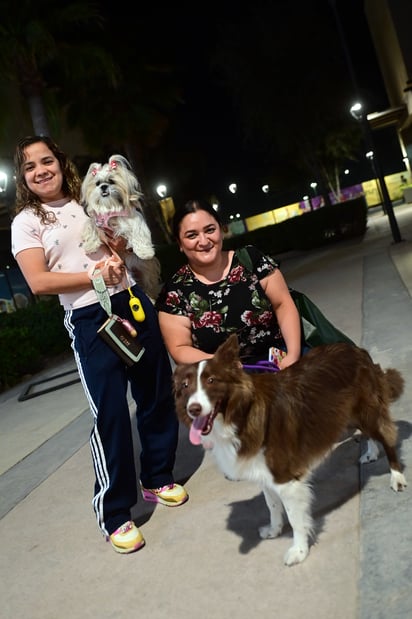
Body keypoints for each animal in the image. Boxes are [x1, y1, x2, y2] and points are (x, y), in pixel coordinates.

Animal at [81, 155, 161, 300]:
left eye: (111, 181)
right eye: (97, 183)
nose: (103, 186)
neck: (110, 208)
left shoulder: (134, 219)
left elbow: (139, 233)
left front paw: (145, 252)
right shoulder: (97, 221)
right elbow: (90, 227)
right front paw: (90, 245)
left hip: (145, 270)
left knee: (150, 286)